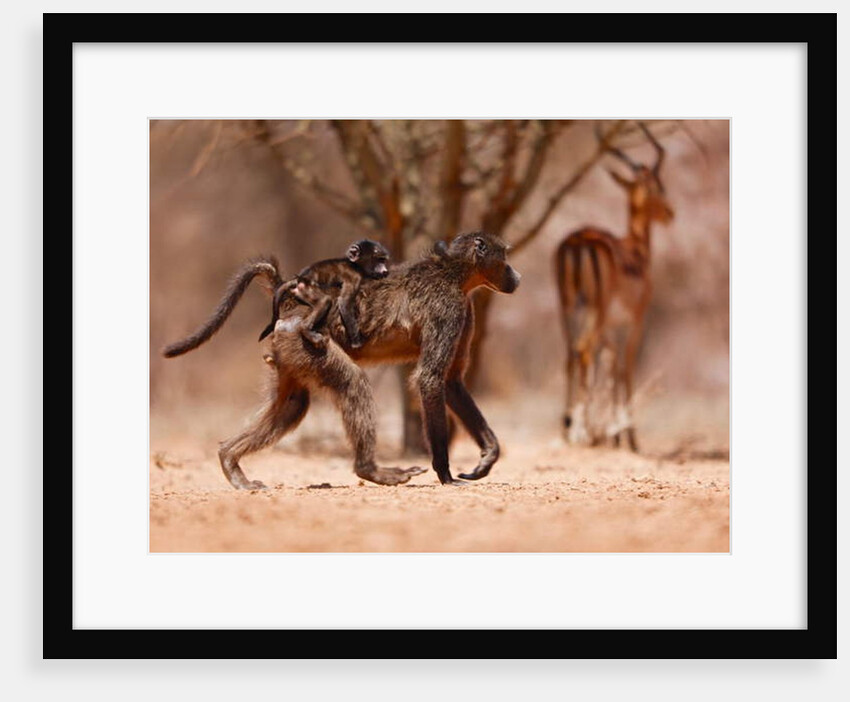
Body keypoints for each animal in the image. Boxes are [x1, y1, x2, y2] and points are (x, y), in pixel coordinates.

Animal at [257, 239, 390, 350]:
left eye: (383, 260)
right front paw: (356, 343)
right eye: (379, 259)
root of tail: (300, 279)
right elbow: (344, 303)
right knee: (324, 301)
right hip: (306, 289)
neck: (354, 265)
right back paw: (306, 330)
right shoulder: (354, 277)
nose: (385, 271)